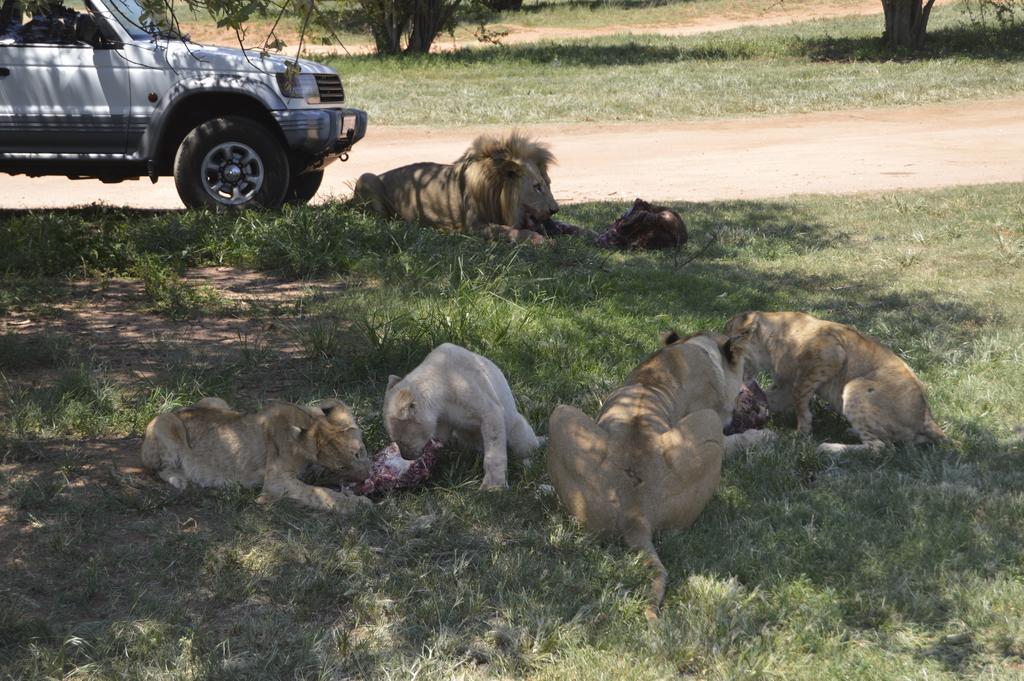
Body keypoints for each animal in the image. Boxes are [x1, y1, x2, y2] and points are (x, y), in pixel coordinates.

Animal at [354, 131, 561, 242]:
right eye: (537, 187)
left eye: (548, 184)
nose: (555, 209)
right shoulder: (475, 226)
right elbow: (511, 230)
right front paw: (540, 240)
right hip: (367, 178)